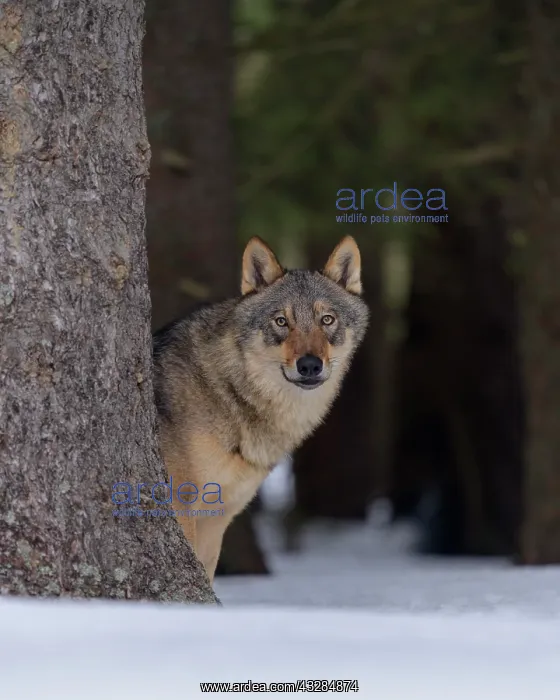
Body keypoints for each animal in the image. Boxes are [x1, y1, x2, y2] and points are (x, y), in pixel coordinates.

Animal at [153, 236, 369, 583]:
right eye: (281, 321)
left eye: (327, 320)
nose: (310, 365)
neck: (229, 392)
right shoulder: (183, 505)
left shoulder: (217, 517)